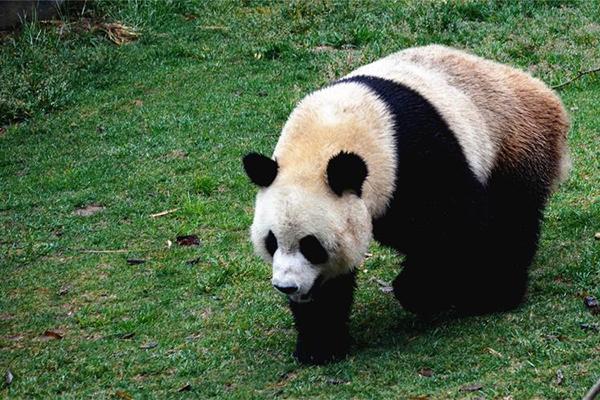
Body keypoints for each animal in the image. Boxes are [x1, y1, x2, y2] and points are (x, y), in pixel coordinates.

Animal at [241, 45, 568, 364]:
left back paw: (495, 293)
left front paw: (421, 291)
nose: (287, 287)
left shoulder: (415, 158)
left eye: (311, 245)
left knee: (510, 219)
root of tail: (546, 95)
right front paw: (320, 344)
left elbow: (457, 225)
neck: (328, 134)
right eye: (271, 241)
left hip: (513, 143)